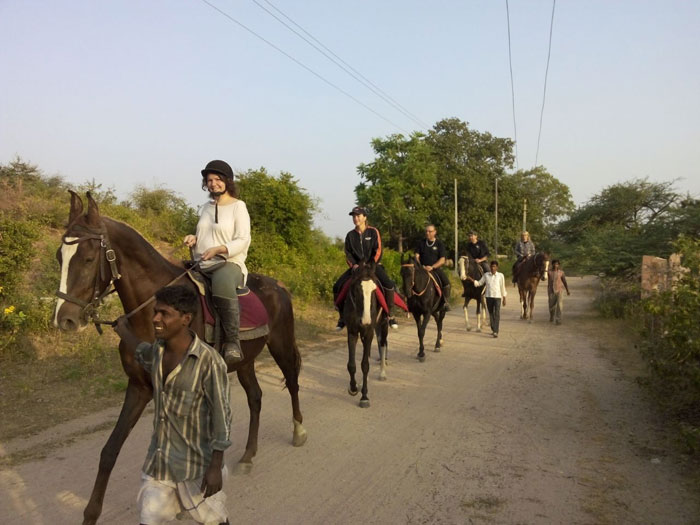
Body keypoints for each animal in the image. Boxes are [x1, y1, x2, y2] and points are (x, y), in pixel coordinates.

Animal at [54, 192, 306, 524]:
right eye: (60, 257)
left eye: (87, 258)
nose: (65, 320)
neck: (152, 313)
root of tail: (279, 287)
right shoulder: (140, 386)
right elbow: (110, 450)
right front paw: (90, 514)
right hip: (245, 361)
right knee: (255, 397)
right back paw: (248, 456)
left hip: (280, 345)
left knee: (292, 382)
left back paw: (298, 432)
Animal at [344, 260, 388, 406]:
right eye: (357, 290)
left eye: (375, 291)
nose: (366, 321)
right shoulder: (352, 332)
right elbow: (352, 364)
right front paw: (353, 388)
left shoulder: (369, 332)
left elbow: (365, 365)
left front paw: (364, 397)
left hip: (382, 325)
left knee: (382, 344)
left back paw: (382, 374)